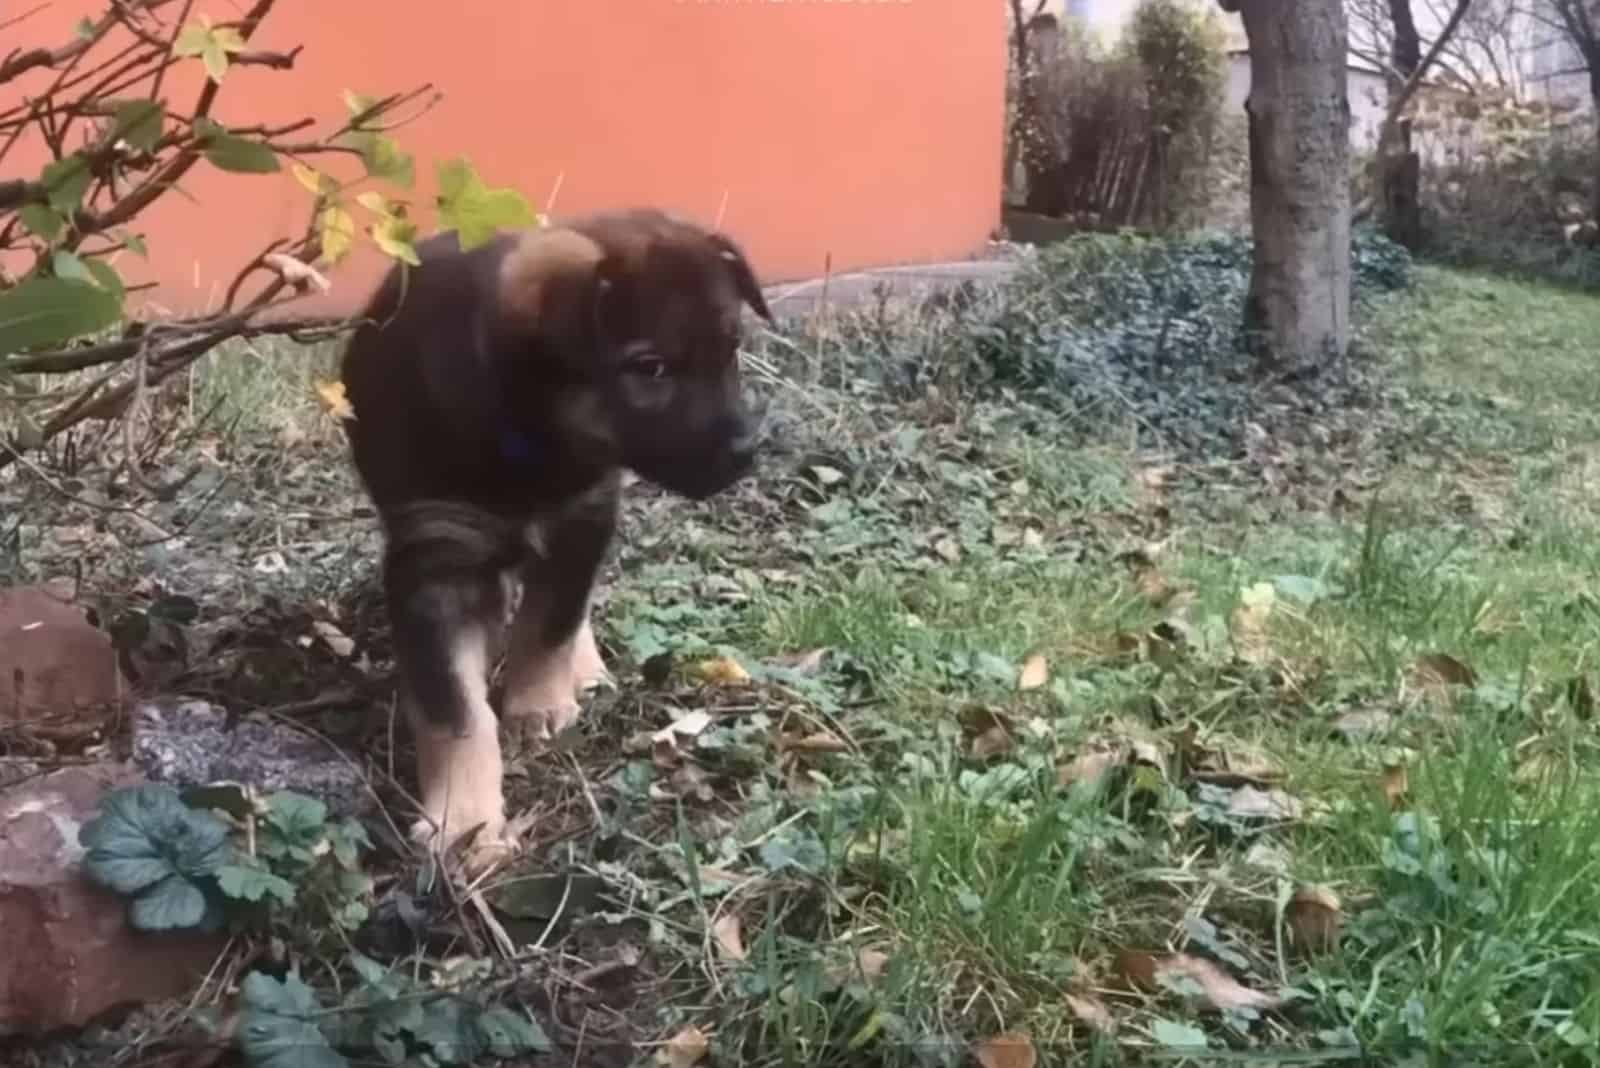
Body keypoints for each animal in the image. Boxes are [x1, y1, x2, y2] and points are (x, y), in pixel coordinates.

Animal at [340, 211, 777, 876]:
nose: (745, 454)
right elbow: (454, 710)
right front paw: (463, 821)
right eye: (650, 368)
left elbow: (551, 626)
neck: (527, 432)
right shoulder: (434, 560)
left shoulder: (583, 518)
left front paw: (538, 704)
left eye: (730, 349)